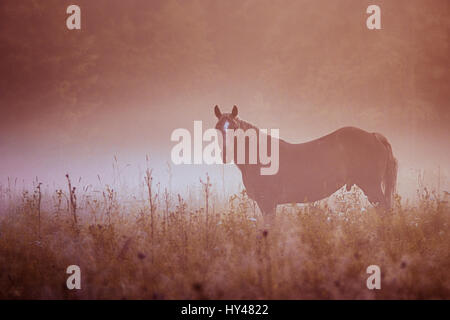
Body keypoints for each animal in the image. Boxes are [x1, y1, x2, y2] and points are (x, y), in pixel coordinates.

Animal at [214, 105, 398, 218]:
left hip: (371, 187)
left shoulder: (268, 203)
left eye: (234, 127)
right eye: (217, 128)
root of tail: (374, 136)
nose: (225, 154)